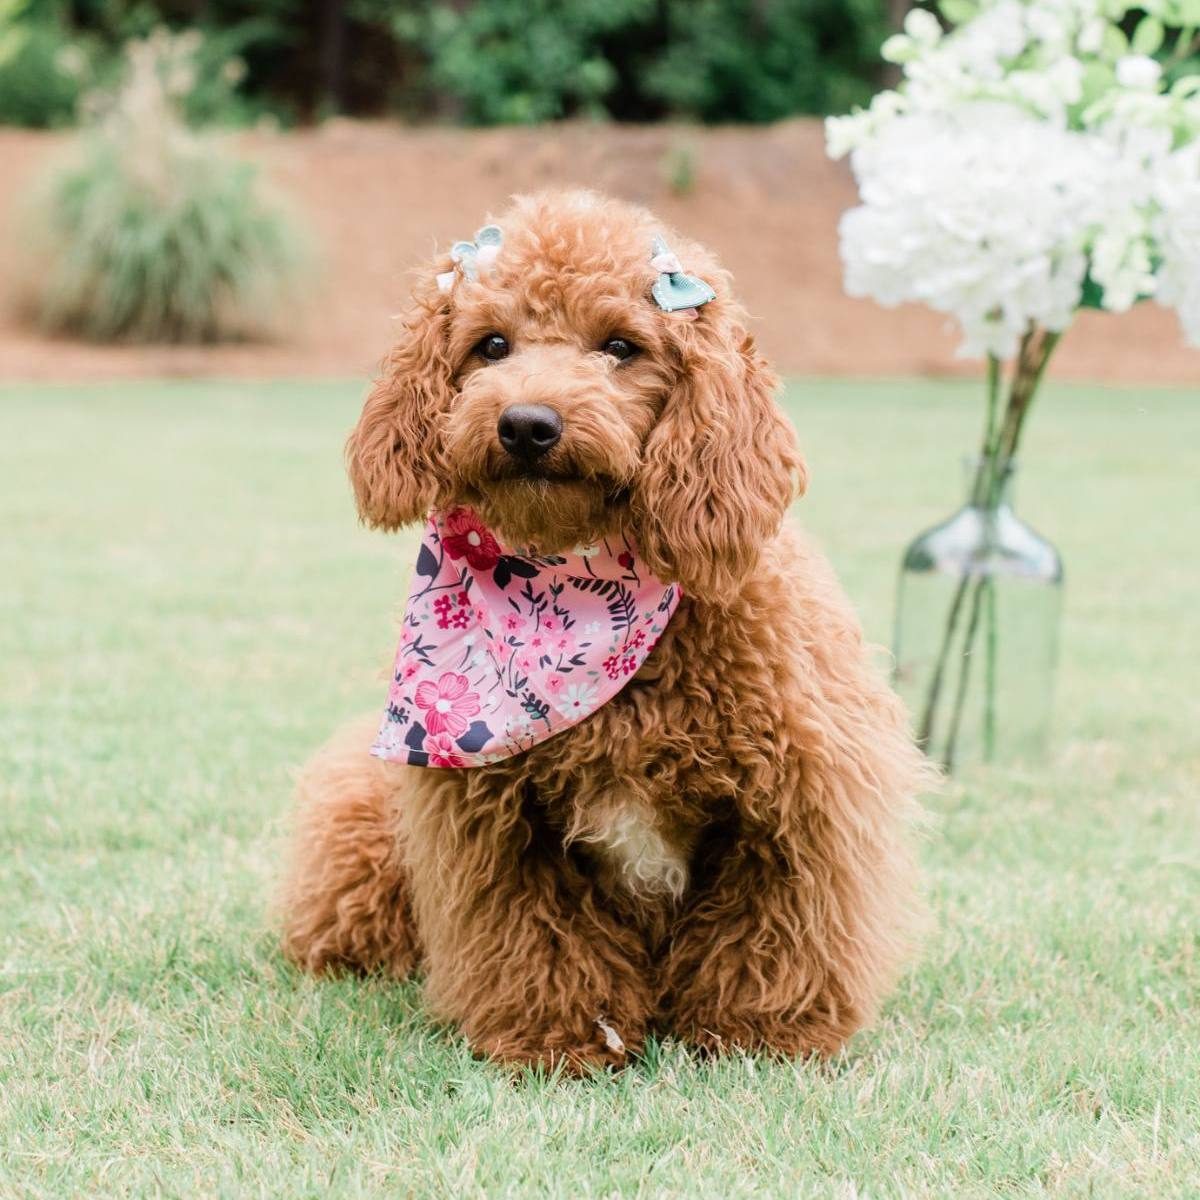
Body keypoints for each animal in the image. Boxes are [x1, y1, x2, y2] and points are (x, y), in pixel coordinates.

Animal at [278, 192, 926, 1075]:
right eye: (491, 345)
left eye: (621, 346)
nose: (527, 423)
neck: (580, 596)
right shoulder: (498, 826)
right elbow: (538, 939)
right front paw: (558, 1037)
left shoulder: (796, 803)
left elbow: (768, 931)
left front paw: (760, 1032)